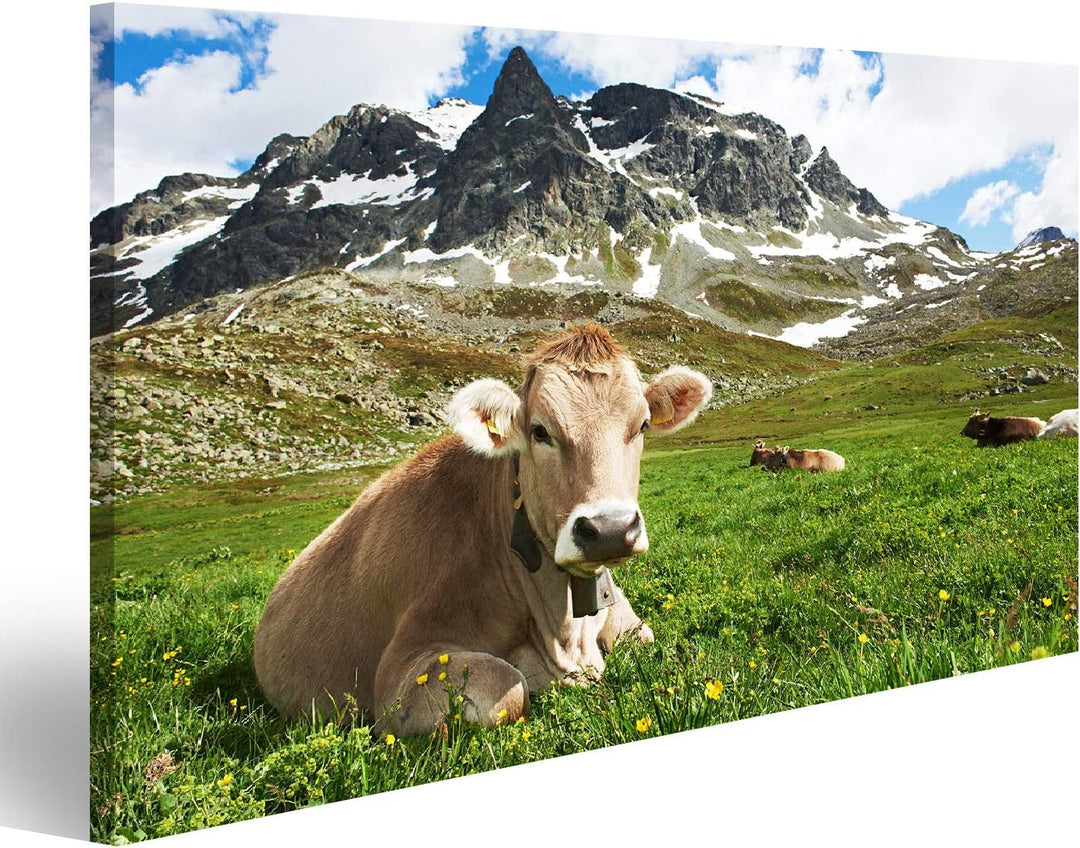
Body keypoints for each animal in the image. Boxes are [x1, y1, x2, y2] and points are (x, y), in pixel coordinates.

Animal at [253, 324, 713, 735]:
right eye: (539, 431)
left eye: (642, 426)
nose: (610, 529)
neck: (563, 635)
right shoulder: (398, 673)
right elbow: (508, 686)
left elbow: (645, 638)